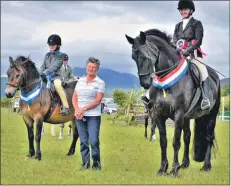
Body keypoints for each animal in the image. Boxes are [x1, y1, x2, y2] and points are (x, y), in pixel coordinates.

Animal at [126, 28, 220, 176]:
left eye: (146, 55)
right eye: (133, 57)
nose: (145, 83)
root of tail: (214, 76)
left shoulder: (178, 114)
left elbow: (175, 142)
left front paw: (174, 169)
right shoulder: (158, 114)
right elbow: (163, 141)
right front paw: (163, 168)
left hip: (211, 115)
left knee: (209, 138)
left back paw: (206, 166)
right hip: (187, 117)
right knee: (187, 136)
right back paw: (185, 163)